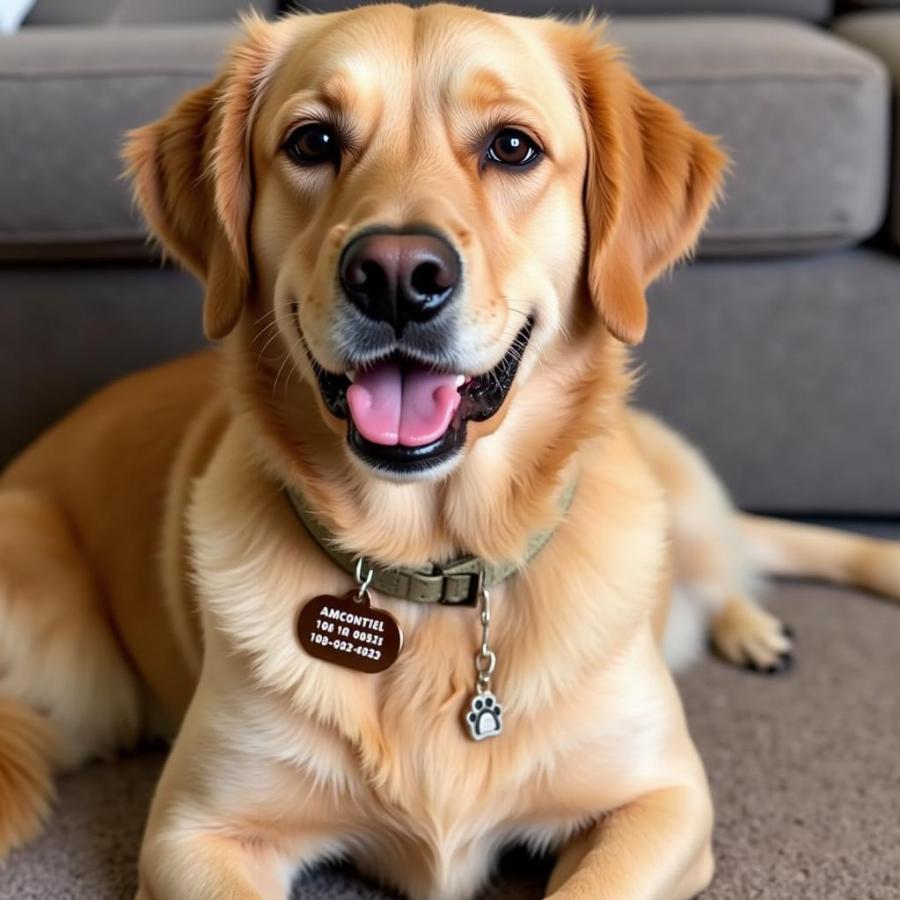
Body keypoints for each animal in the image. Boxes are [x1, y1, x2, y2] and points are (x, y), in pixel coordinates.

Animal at [1, 3, 900, 896]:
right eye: (312, 142)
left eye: (513, 146)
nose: (397, 275)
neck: (432, 564)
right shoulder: (192, 832)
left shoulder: (664, 799)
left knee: (729, 571)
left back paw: (755, 632)